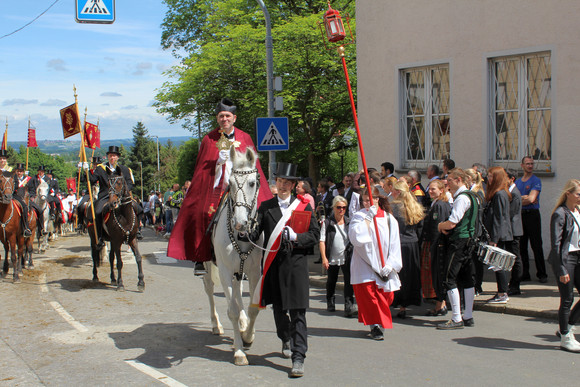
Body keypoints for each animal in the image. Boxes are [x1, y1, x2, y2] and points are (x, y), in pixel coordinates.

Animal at [205, 146, 264, 366]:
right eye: (229, 183)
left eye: (252, 183)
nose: (239, 223)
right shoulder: (224, 271)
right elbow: (231, 310)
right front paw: (239, 351)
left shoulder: (254, 272)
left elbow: (253, 307)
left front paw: (248, 336)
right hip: (208, 267)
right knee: (210, 290)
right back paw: (216, 324)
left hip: (240, 269)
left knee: (239, 291)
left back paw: (243, 322)